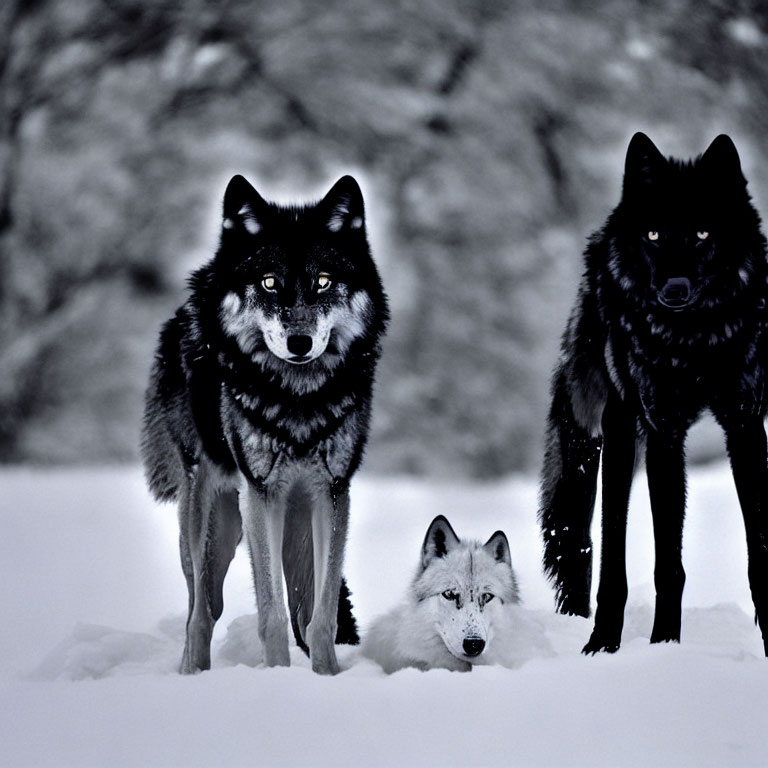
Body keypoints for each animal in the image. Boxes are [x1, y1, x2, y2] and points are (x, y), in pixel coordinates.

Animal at [141, 172, 388, 672]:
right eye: (270, 283)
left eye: (323, 282)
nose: (299, 341)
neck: (298, 399)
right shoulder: (262, 494)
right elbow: (270, 612)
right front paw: (277, 676)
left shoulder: (332, 493)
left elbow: (321, 613)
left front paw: (326, 675)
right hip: (210, 522)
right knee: (202, 609)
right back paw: (191, 671)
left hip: (290, 521)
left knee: (292, 601)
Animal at [540, 132, 768, 656]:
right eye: (654, 236)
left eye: (702, 234)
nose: (675, 288)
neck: (694, 342)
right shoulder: (664, 432)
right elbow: (668, 564)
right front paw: (665, 646)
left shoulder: (745, 424)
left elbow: (760, 551)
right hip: (615, 435)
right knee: (603, 550)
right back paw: (600, 641)